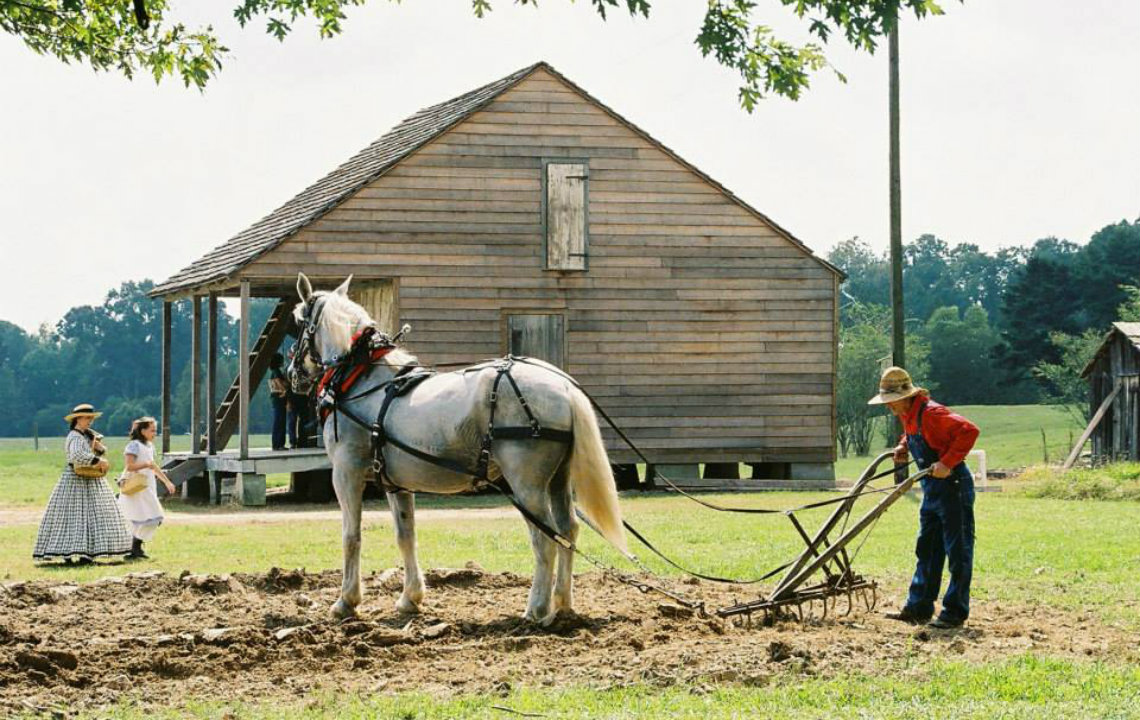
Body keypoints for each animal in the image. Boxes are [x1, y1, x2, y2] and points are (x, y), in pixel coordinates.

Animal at [285, 274, 624, 624]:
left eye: (297, 321)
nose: (292, 374)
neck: (360, 378)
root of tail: (564, 387)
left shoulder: (346, 472)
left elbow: (351, 536)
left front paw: (346, 602)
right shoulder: (395, 483)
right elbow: (405, 535)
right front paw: (410, 598)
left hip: (527, 486)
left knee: (545, 538)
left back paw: (537, 608)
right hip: (559, 479)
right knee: (568, 530)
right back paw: (563, 604)